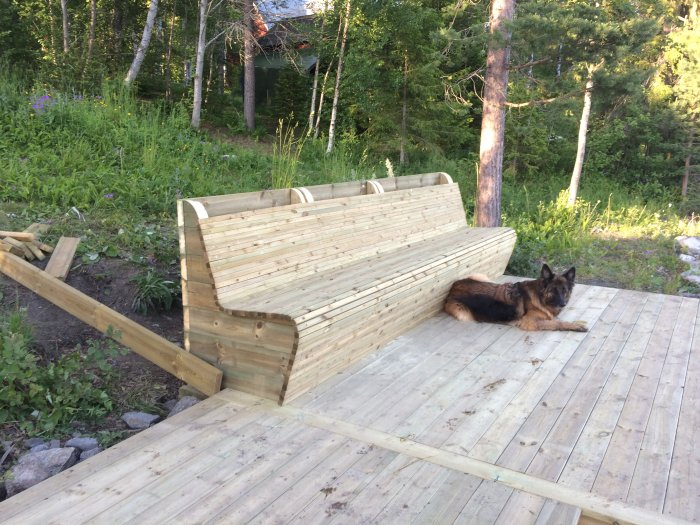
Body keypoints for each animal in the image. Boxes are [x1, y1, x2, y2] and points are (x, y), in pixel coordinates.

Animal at [446, 262, 588, 332]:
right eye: (553, 290)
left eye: (564, 290)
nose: (563, 304)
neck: (540, 297)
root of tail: (453, 288)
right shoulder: (530, 322)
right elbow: (556, 322)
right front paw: (576, 326)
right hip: (463, 314)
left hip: (481, 277)